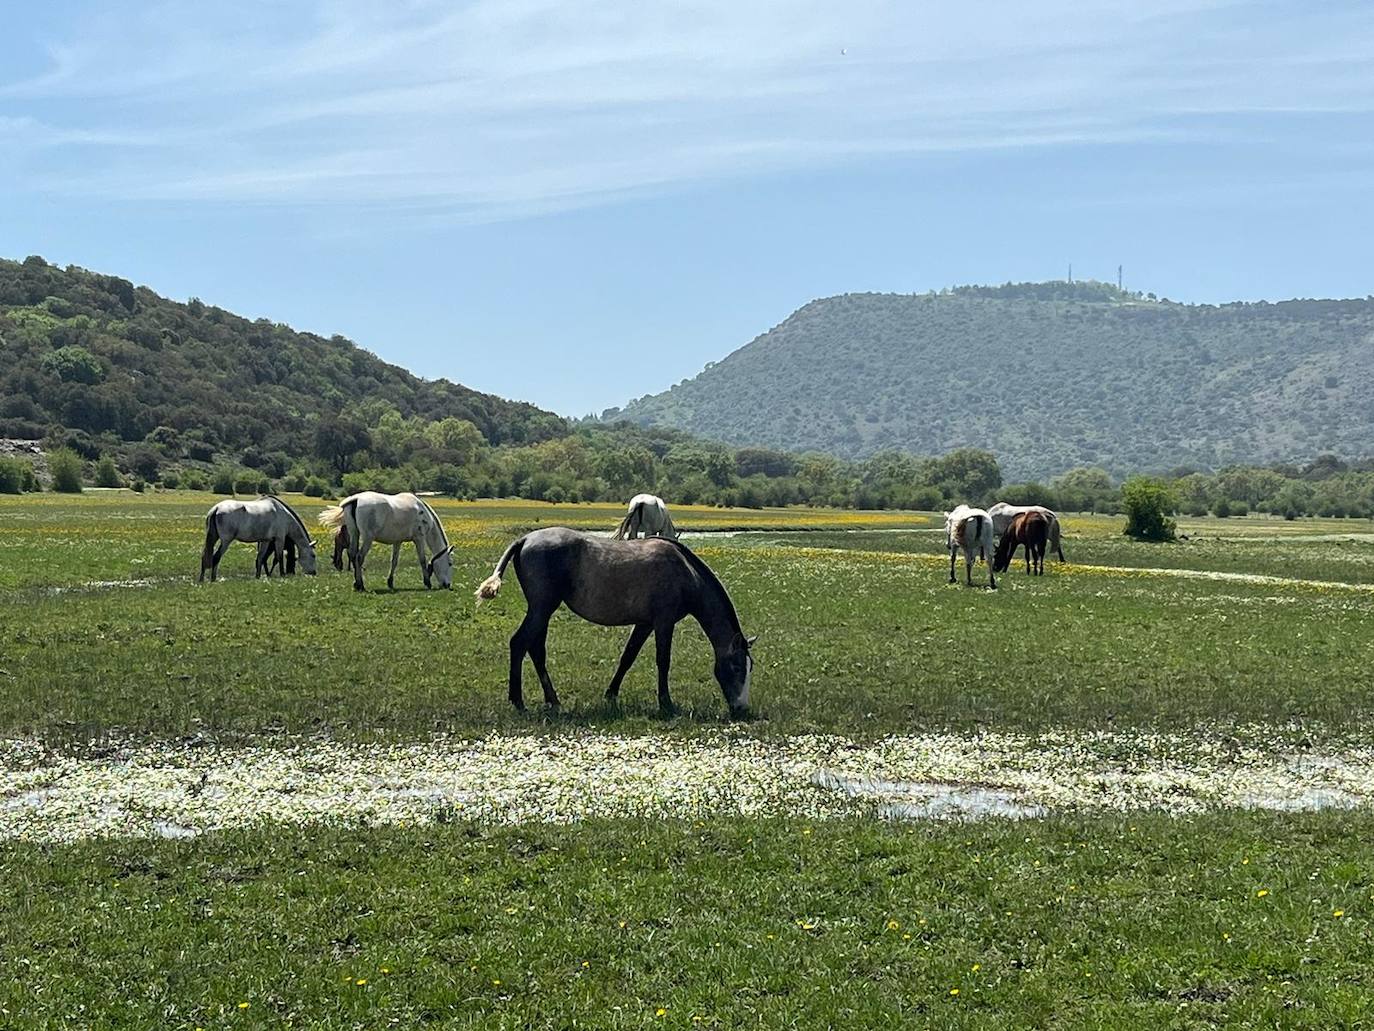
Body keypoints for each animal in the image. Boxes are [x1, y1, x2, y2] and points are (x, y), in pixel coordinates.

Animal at [317, 494, 456, 593]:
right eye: (450, 563)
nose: (447, 585)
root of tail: (356, 499)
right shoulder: (419, 539)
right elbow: (422, 560)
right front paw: (427, 582)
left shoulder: (397, 542)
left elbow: (394, 562)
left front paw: (390, 582)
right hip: (367, 538)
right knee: (359, 557)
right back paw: (361, 585)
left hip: (354, 533)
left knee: (352, 554)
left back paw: (356, 584)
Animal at [472, 525, 752, 720]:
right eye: (737, 666)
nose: (742, 709)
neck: (685, 571)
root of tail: (525, 539)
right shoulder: (664, 622)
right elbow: (663, 661)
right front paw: (666, 704)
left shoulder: (645, 624)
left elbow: (628, 657)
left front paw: (611, 695)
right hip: (542, 608)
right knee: (520, 644)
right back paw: (518, 702)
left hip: (542, 611)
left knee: (535, 649)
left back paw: (553, 701)